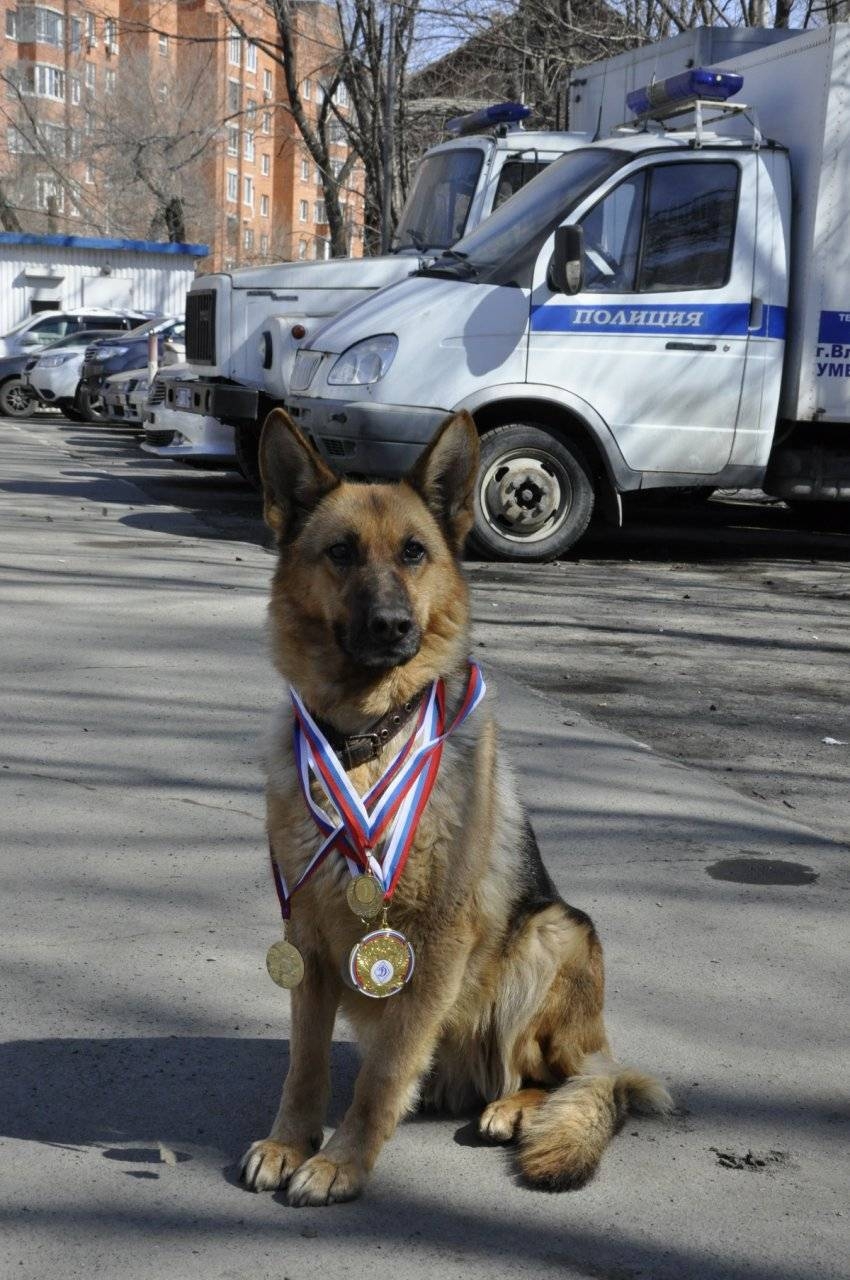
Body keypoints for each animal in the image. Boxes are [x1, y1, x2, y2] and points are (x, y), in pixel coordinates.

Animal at [239, 412, 670, 1208]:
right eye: (340, 552)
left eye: (414, 552)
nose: (391, 626)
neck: (366, 739)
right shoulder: (307, 942)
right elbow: (305, 1063)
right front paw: (291, 1141)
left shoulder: (436, 943)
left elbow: (380, 1076)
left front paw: (342, 1162)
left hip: (554, 935)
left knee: (562, 1077)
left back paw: (516, 1108)